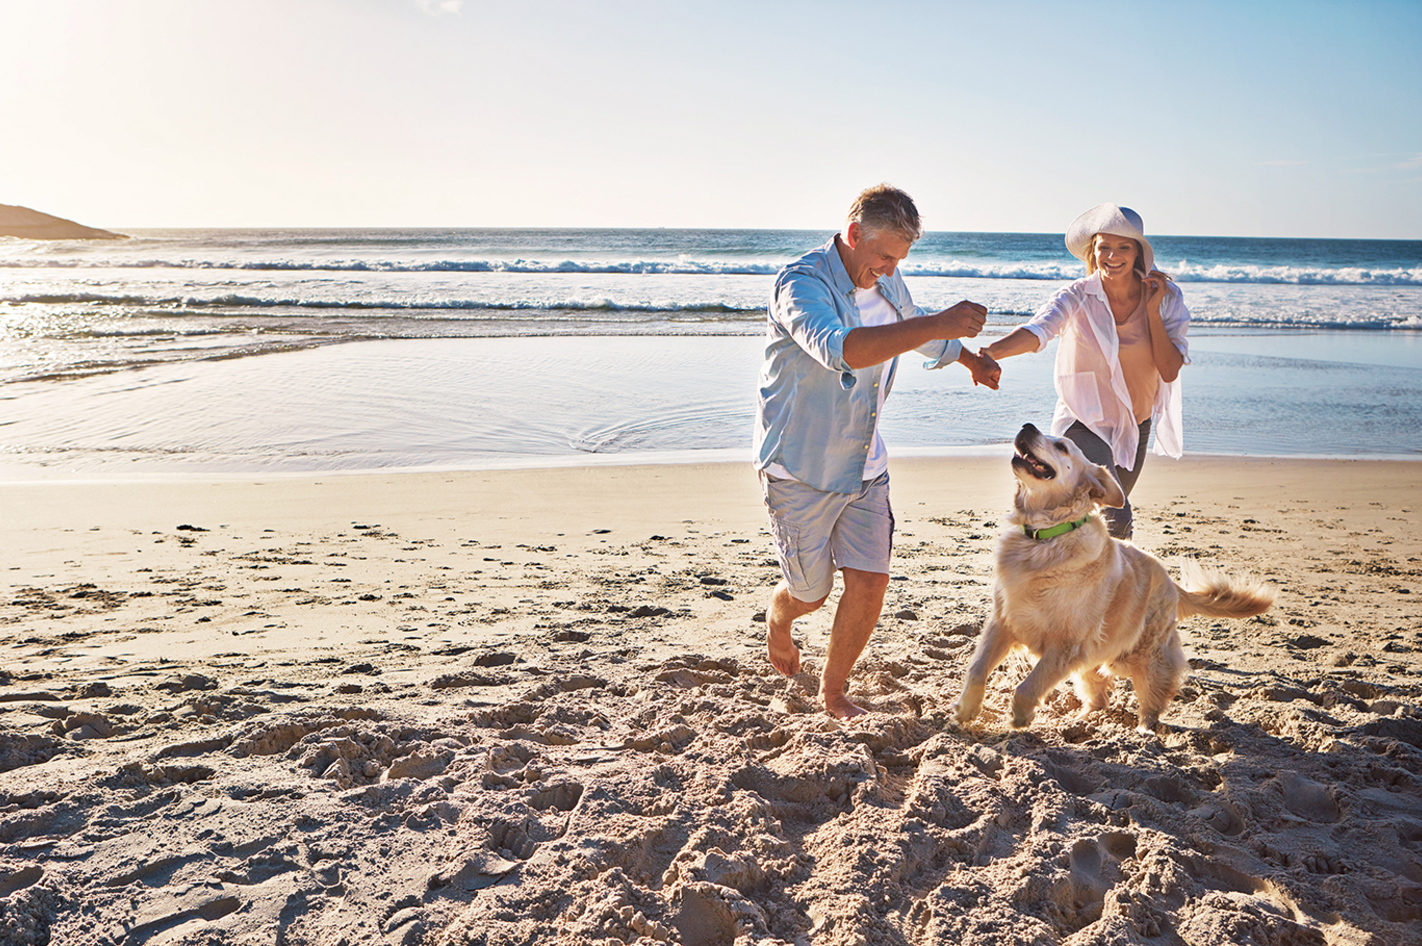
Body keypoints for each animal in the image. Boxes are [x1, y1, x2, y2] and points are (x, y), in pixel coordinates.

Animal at [955, 421, 1279, 728]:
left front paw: (1020, 717)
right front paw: (966, 710)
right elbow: (977, 668)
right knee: (1099, 697)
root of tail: (1172, 584)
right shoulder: (1003, 622)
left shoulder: (1066, 645)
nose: (1027, 427)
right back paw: (1081, 721)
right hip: (1094, 659)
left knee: (1153, 699)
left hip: (1143, 655)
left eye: (1062, 446)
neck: (1044, 538)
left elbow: (1028, 685)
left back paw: (1145, 731)